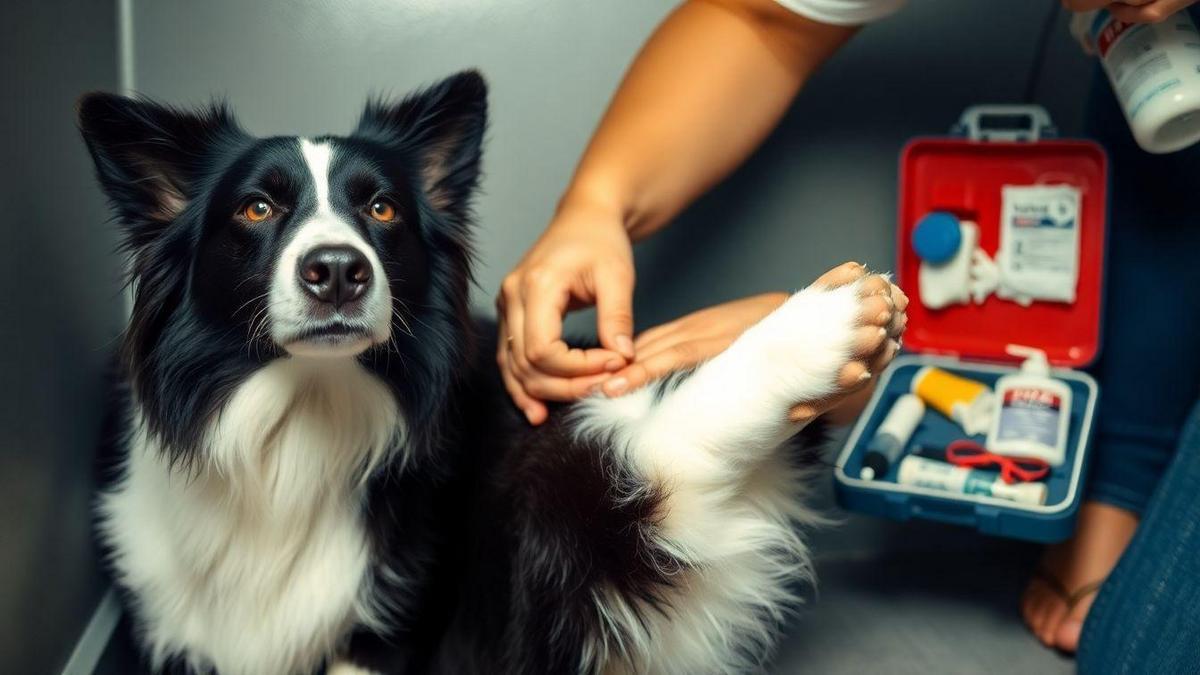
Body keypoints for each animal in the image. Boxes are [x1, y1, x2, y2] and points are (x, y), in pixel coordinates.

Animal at [79, 70, 902, 667]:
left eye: (381, 209)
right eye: (256, 208)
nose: (339, 270)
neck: (302, 418)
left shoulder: (394, 624)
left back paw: (823, 325)